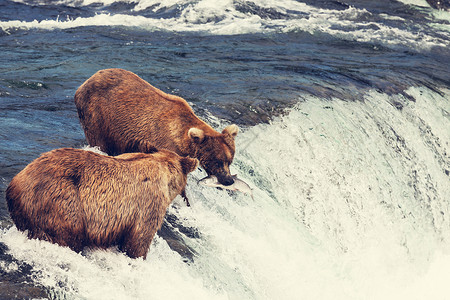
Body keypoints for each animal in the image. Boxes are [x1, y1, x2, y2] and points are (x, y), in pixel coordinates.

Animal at [74, 69, 239, 188]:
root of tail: (85, 81)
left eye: (229, 161)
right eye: (217, 161)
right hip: (97, 115)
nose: (229, 180)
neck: (181, 137)